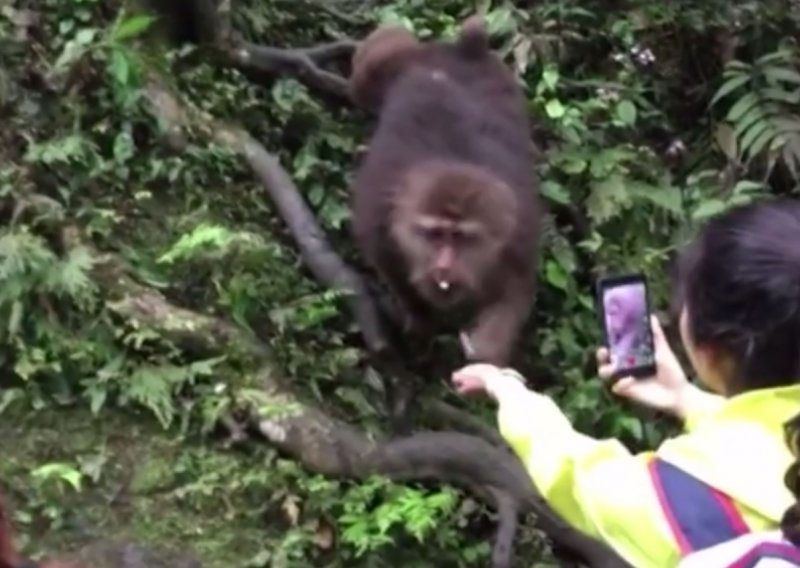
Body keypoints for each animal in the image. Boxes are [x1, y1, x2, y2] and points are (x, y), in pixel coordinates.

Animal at [348, 17, 540, 366]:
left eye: (462, 238)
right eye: (435, 234)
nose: (444, 267)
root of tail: (465, 51)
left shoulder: (517, 233)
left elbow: (516, 287)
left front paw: (486, 351)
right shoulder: (381, 221)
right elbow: (391, 267)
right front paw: (422, 319)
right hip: (402, 62)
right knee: (373, 70)